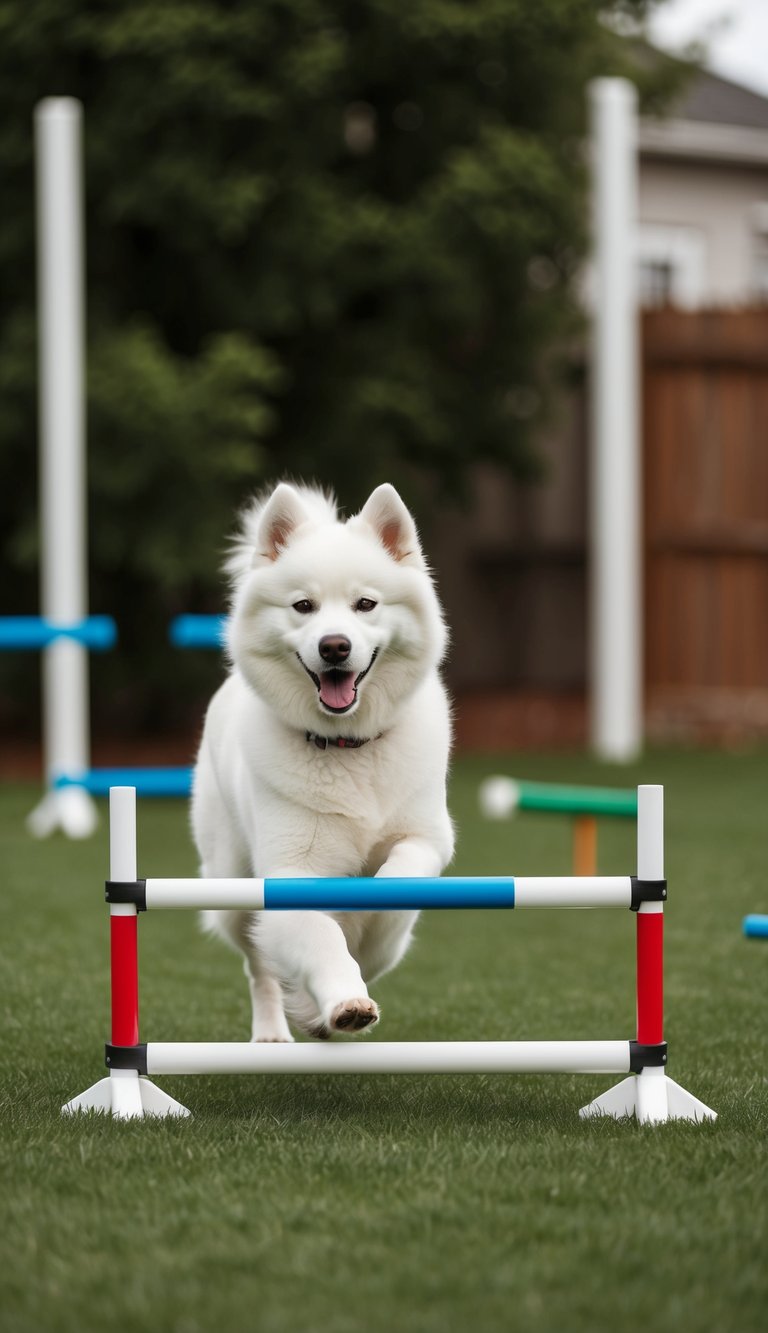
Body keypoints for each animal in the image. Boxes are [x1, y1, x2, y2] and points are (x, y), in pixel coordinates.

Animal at [191, 481, 454, 1040]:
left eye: (365, 604)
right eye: (304, 606)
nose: (335, 646)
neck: (348, 745)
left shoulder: (428, 837)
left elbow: (400, 876)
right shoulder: (291, 874)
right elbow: (321, 940)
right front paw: (343, 1002)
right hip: (232, 891)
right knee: (260, 965)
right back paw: (278, 1028)